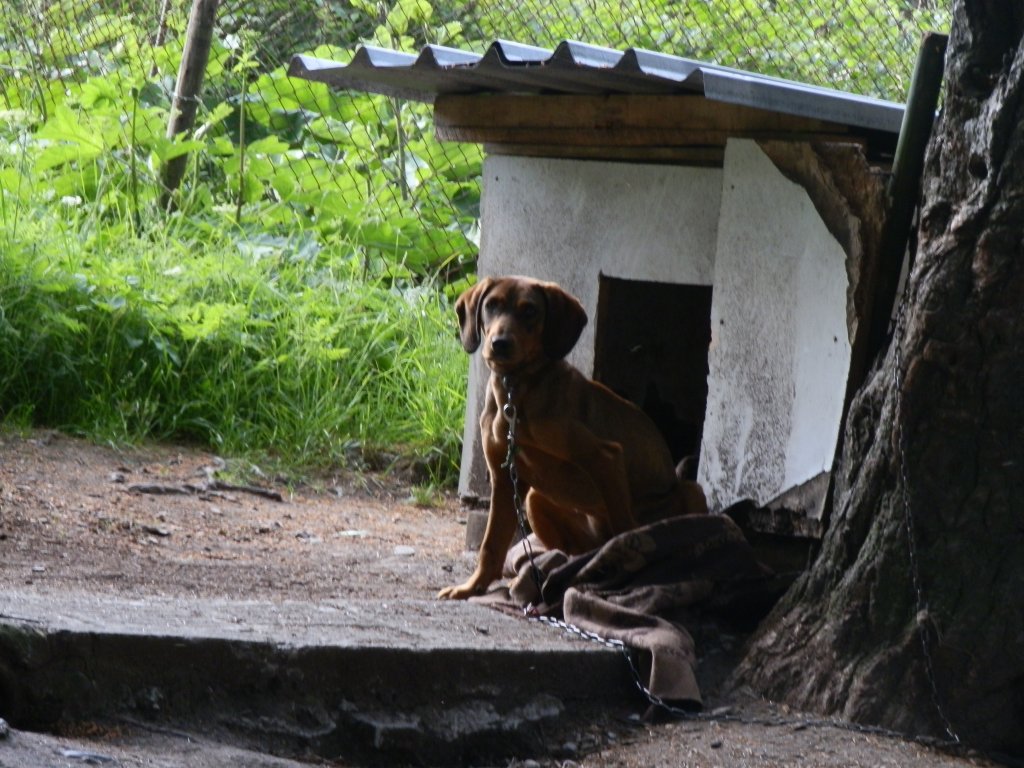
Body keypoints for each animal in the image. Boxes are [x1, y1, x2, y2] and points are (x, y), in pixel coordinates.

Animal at [436, 276, 708, 602]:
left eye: (530, 311)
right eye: (491, 305)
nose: (499, 344)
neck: (517, 393)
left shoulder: (606, 456)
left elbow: (624, 531)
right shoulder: (504, 479)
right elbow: (491, 545)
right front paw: (472, 587)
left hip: (691, 491)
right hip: (534, 500)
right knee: (572, 553)